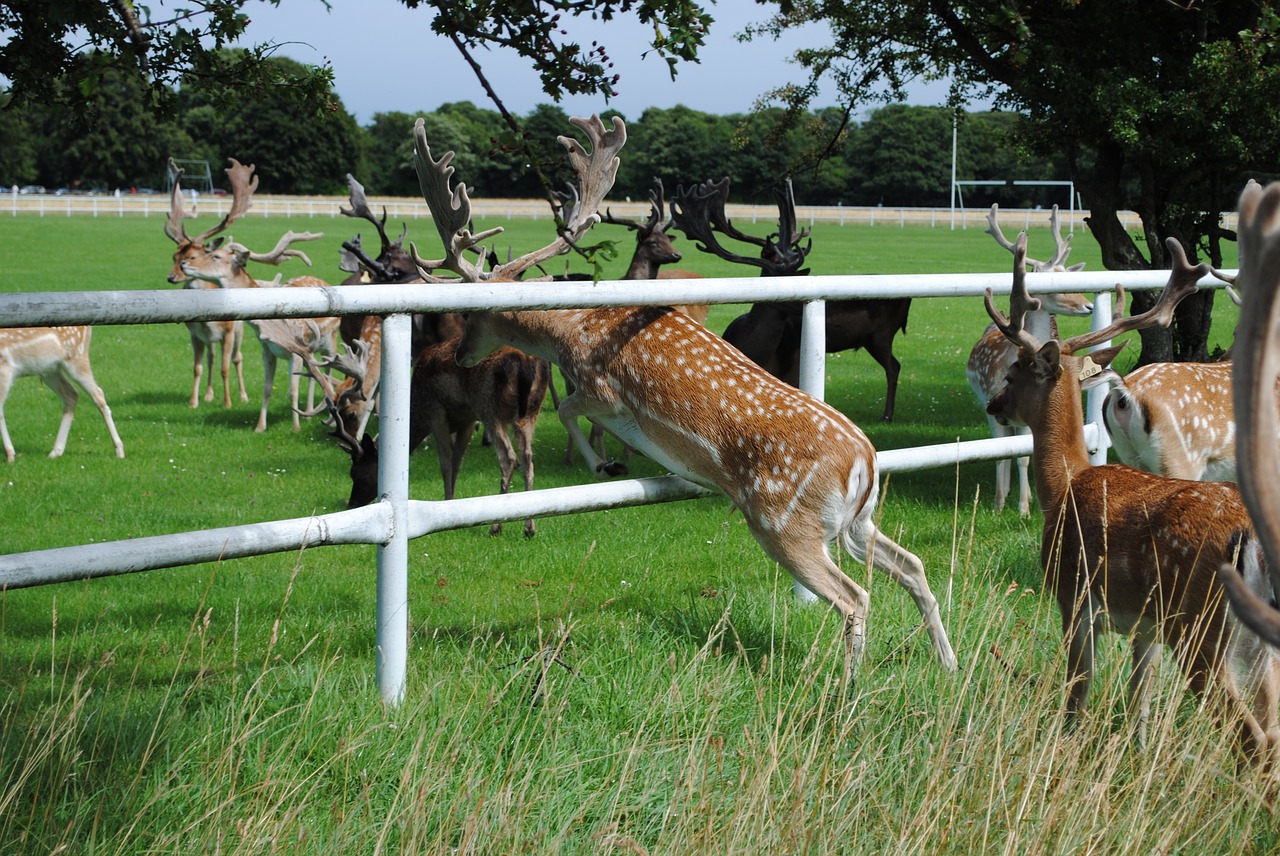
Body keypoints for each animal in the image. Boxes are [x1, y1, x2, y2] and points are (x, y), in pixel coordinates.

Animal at [0, 324, 126, 460]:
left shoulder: (5, 367)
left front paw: (10, 455)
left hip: (76, 355)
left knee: (98, 394)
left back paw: (119, 451)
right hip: (48, 368)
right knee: (71, 394)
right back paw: (56, 451)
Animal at [983, 229, 1274, 762]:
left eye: (1013, 372)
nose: (995, 404)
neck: (1065, 485)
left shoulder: (1075, 598)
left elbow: (1077, 695)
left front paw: (1067, 751)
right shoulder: (1146, 626)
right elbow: (1139, 702)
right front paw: (1135, 759)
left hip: (1201, 630)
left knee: (1256, 740)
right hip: (1252, 647)